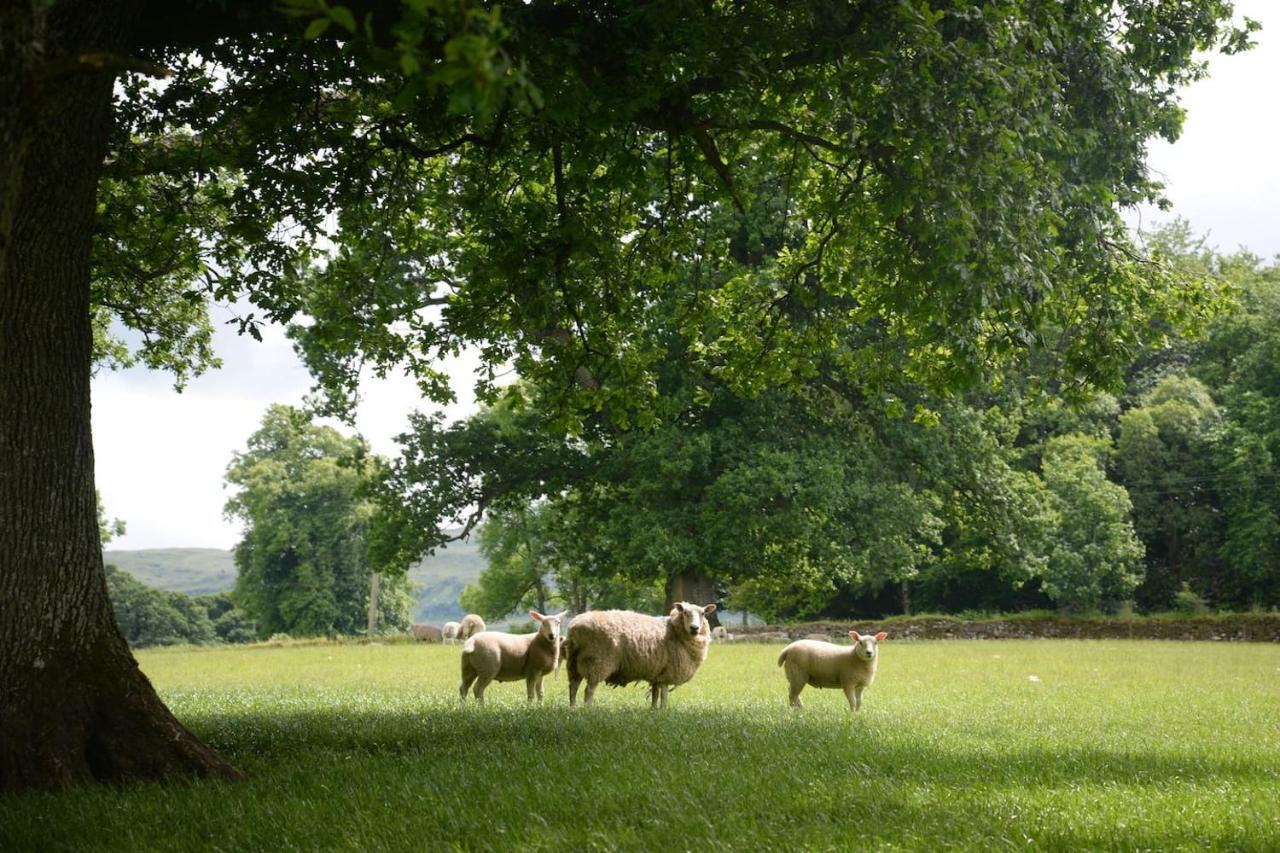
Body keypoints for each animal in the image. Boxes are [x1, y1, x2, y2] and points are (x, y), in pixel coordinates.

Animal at [570, 596, 721, 701]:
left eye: (703, 613)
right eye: (684, 612)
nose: (695, 628)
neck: (675, 630)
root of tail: (575, 627)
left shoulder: (658, 674)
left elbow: (655, 696)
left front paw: (655, 712)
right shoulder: (668, 673)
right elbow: (664, 697)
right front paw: (664, 712)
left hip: (574, 662)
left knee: (573, 687)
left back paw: (573, 709)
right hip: (597, 661)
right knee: (588, 691)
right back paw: (587, 709)